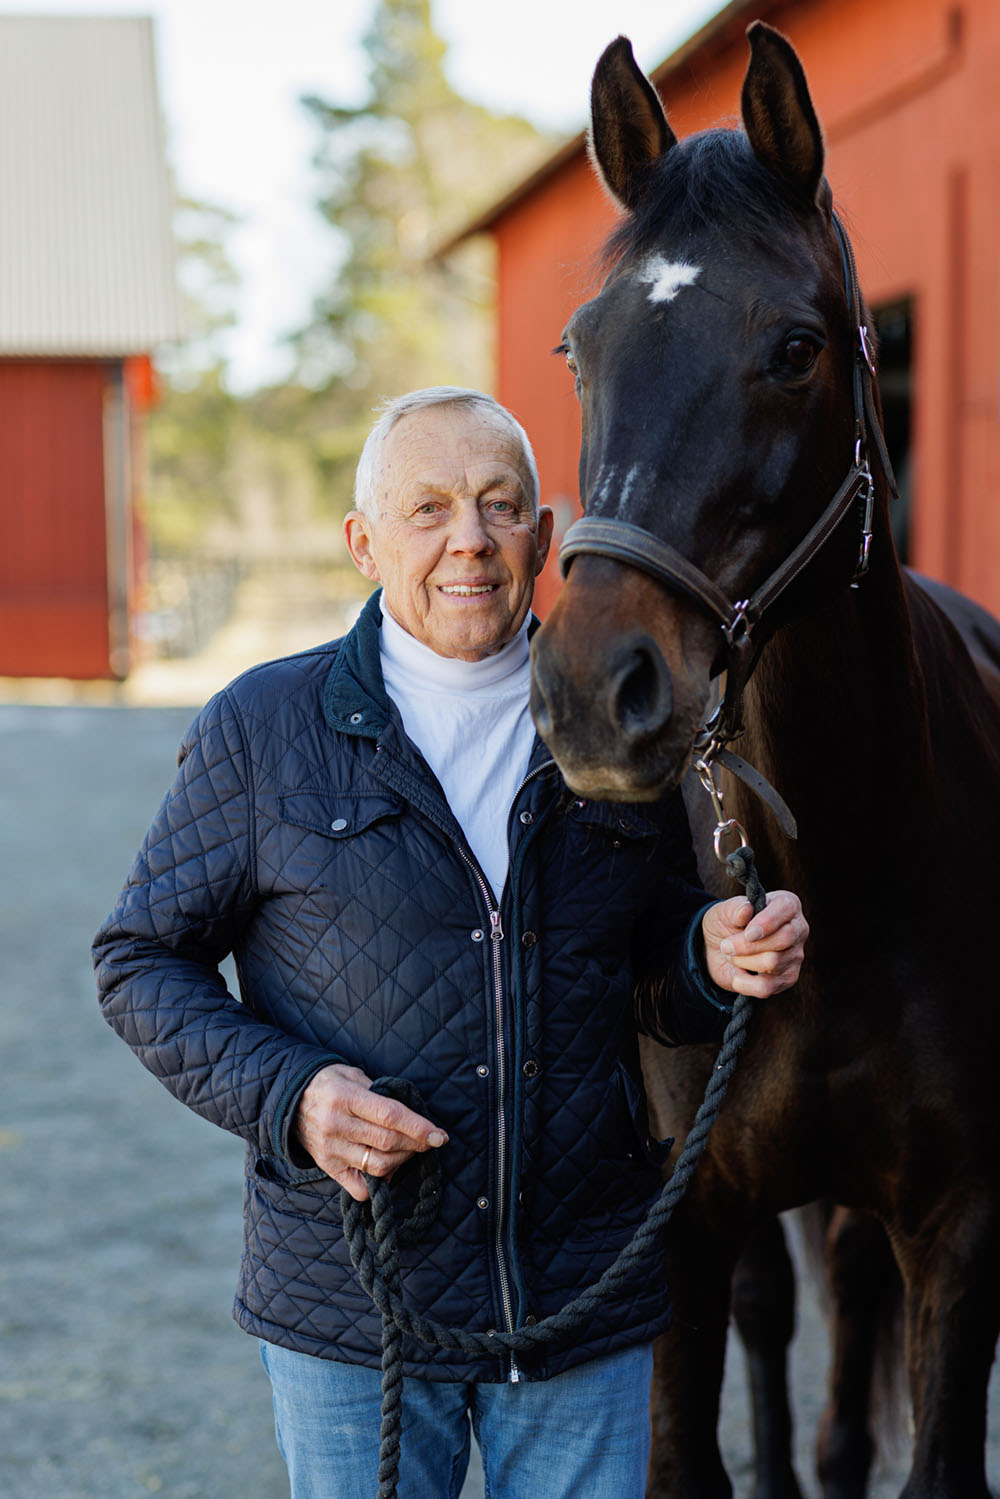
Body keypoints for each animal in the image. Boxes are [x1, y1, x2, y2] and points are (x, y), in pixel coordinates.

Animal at [530, 20, 1000, 1499]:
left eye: (795, 348)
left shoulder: (961, 1221)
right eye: (578, 350)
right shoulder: (679, 1227)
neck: (841, 863)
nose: (590, 692)